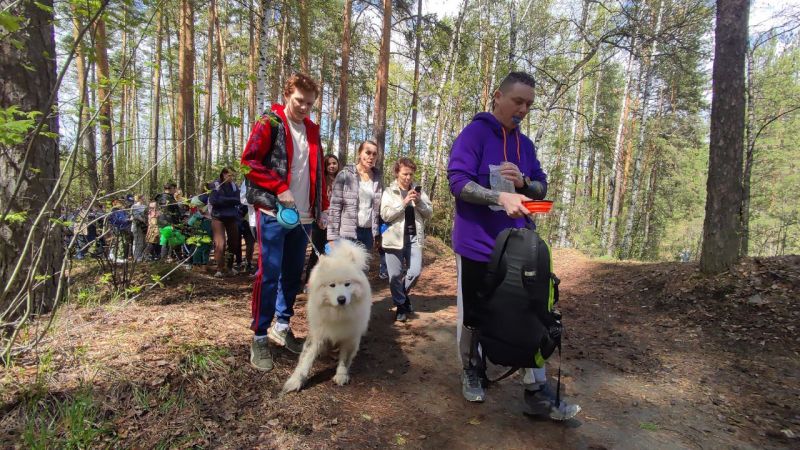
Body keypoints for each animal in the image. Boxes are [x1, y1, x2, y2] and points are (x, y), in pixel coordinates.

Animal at [282, 241, 374, 392]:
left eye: (347, 284)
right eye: (332, 285)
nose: (341, 299)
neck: (337, 314)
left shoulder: (349, 336)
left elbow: (344, 359)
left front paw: (341, 375)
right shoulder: (317, 334)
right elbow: (305, 360)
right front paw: (295, 381)